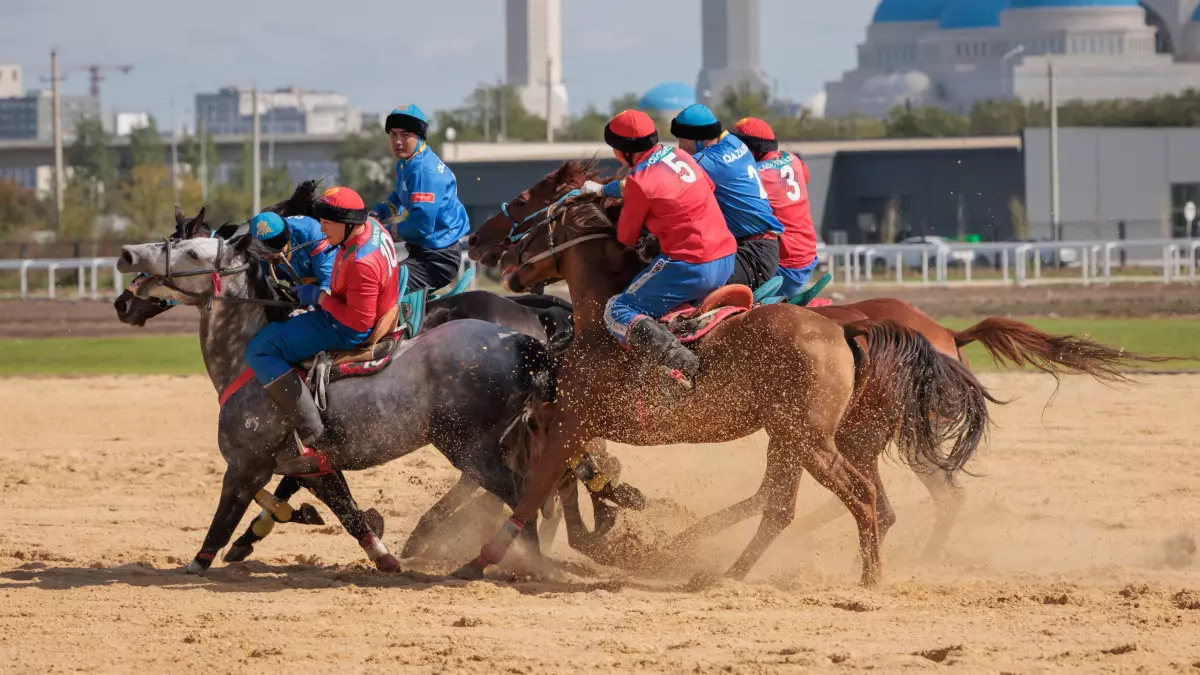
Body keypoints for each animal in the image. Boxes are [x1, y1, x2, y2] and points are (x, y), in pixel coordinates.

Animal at [117, 223, 561, 569]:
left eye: (192, 250)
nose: (127, 257)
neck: (246, 359)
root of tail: (521, 338)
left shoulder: (245, 465)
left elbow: (222, 521)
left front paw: (205, 559)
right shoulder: (316, 468)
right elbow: (348, 513)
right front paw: (381, 554)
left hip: (470, 448)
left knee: (519, 495)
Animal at [451, 189, 993, 583]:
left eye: (530, 211)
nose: (495, 256)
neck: (602, 323)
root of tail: (844, 329)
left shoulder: (572, 422)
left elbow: (537, 489)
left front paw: (480, 559)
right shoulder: (570, 426)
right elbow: (569, 482)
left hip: (815, 440)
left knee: (860, 497)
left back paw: (869, 578)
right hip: (795, 439)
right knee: (783, 508)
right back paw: (724, 572)